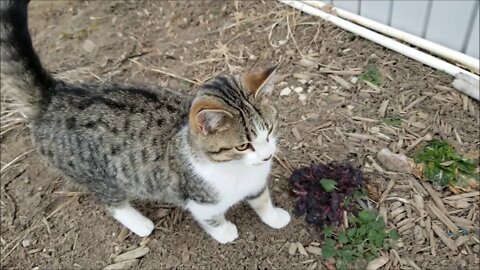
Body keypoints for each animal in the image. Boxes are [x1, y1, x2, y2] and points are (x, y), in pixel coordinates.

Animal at [0, 0, 290, 244]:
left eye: (269, 130)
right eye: (243, 146)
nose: (267, 155)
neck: (235, 169)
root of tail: (54, 96)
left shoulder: (256, 183)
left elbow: (262, 199)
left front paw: (275, 217)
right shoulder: (201, 201)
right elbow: (212, 219)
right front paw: (226, 232)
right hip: (97, 175)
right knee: (110, 201)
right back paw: (140, 224)